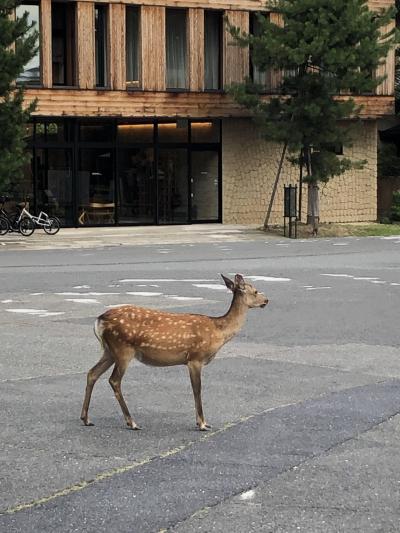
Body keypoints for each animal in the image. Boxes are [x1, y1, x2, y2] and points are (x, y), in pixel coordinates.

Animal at [80, 272, 268, 430]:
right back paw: (131, 422)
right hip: (123, 349)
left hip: (109, 351)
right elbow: (197, 389)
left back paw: (86, 418)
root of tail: (99, 320)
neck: (218, 332)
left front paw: (201, 422)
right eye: (255, 291)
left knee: (92, 373)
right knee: (114, 380)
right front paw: (202, 423)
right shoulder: (195, 358)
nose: (266, 300)